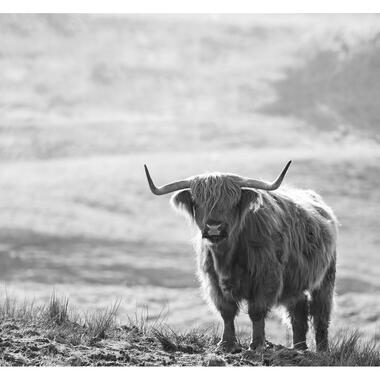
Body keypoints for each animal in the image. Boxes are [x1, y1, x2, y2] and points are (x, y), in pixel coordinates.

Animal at [144, 163, 336, 354]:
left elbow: (256, 312)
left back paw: (322, 350)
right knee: (298, 310)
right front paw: (226, 344)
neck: (226, 257)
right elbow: (226, 312)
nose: (214, 227)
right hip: (294, 283)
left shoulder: (266, 279)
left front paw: (257, 344)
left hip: (326, 279)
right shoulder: (214, 282)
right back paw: (299, 348)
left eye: (232, 203)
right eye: (197, 203)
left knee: (320, 314)